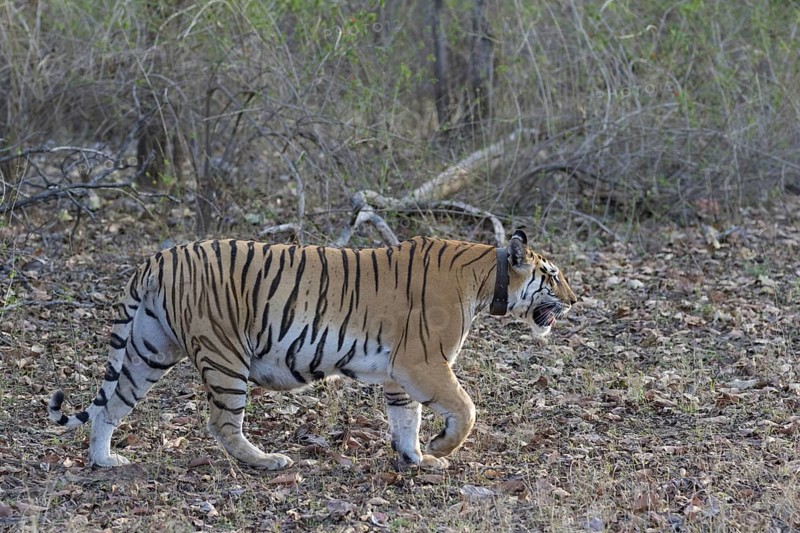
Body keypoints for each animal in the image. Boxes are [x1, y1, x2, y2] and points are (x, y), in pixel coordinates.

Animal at [48, 229, 576, 470]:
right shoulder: (423, 363)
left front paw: (415, 458)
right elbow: (465, 409)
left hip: (148, 349)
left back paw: (104, 461)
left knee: (109, 406)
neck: (487, 279)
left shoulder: (398, 374)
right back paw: (267, 462)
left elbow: (406, 420)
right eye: (552, 276)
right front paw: (440, 449)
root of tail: (157, 258)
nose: (576, 300)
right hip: (224, 356)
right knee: (222, 422)